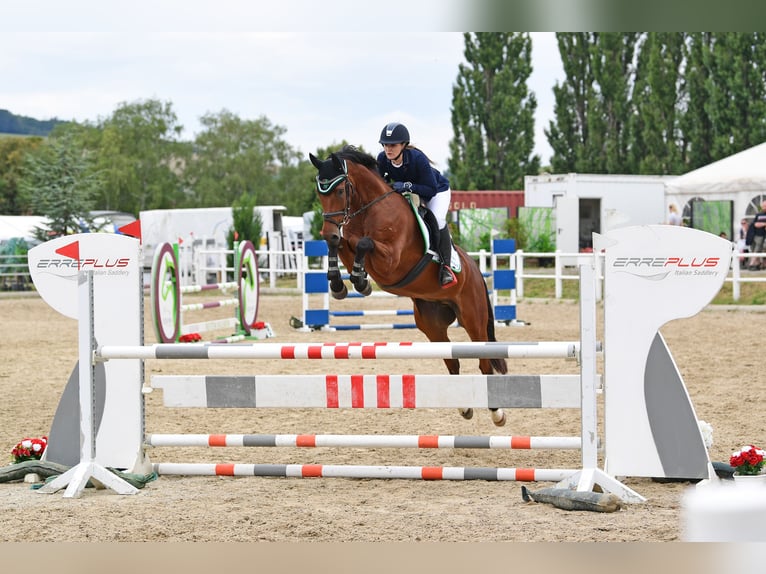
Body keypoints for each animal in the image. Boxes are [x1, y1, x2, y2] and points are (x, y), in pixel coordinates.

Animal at [308, 147, 512, 428]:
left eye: (339, 191)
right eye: (320, 192)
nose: (328, 230)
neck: (369, 209)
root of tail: (474, 269)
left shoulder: (392, 260)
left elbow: (363, 243)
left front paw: (360, 281)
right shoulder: (348, 243)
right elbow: (342, 244)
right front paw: (341, 284)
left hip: (473, 318)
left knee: (484, 363)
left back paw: (497, 413)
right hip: (432, 324)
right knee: (452, 362)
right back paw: (465, 407)